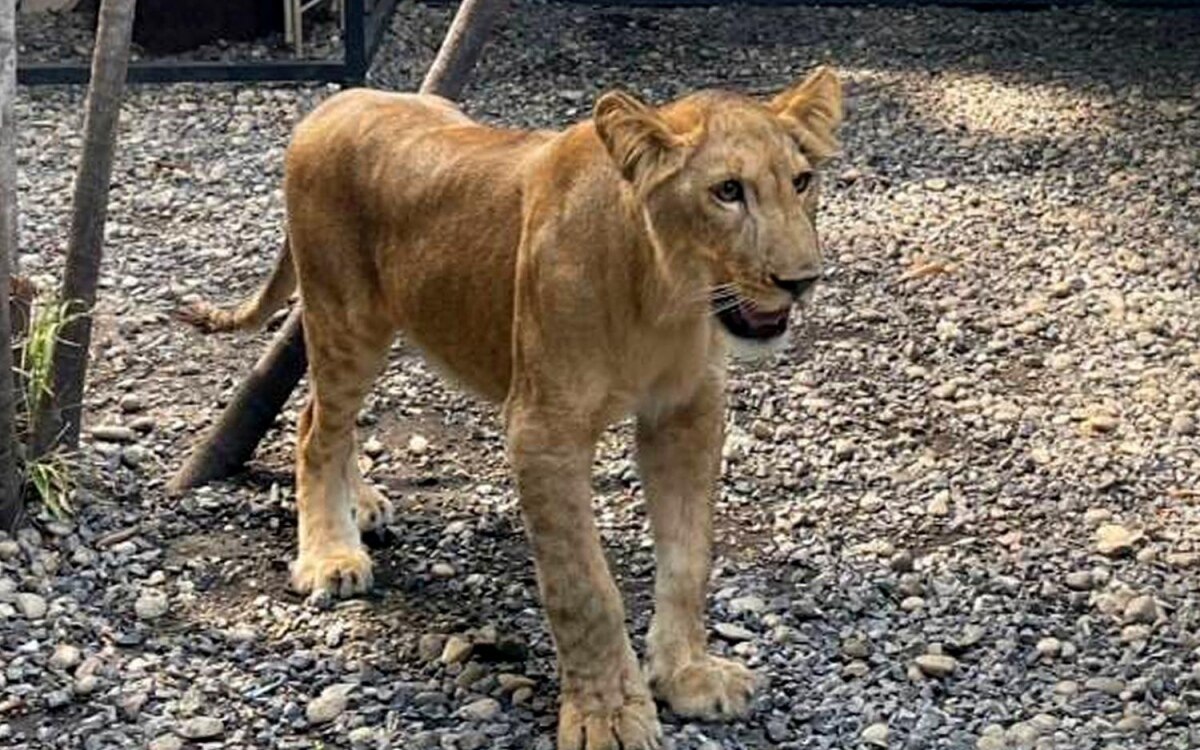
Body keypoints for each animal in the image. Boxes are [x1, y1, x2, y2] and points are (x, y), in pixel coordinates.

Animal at [187, 67, 844, 744]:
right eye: (727, 191)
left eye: (801, 181)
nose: (802, 280)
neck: (665, 298)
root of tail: (336, 103)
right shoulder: (542, 428)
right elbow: (584, 586)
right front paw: (607, 715)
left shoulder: (687, 413)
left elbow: (689, 559)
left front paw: (688, 676)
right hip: (344, 317)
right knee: (318, 428)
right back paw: (331, 556)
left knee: (318, 417)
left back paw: (360, 507)